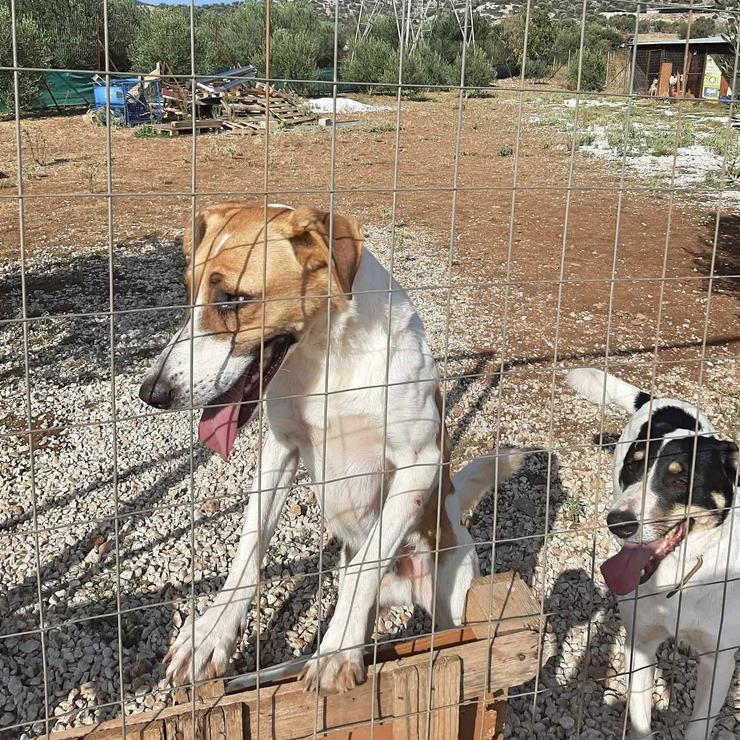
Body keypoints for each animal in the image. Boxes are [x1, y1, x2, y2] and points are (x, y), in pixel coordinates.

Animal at [139, 204, 520, 692]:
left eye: (233, 299)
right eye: (189, 291)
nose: (151, 393)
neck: (327, 359)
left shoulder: (421, 461)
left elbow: (366, 566)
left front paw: (336, 651)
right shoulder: (280, 449)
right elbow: (250, 546)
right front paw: (211, 633)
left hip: (453, 595)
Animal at [568, 368, 736, 736]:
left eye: (680, 480)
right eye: (633, 468)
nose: (617, 523)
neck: (679, 571)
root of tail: (659, 400)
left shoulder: (719, 659)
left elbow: (699, 725)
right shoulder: (640, 646)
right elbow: (641, 721)